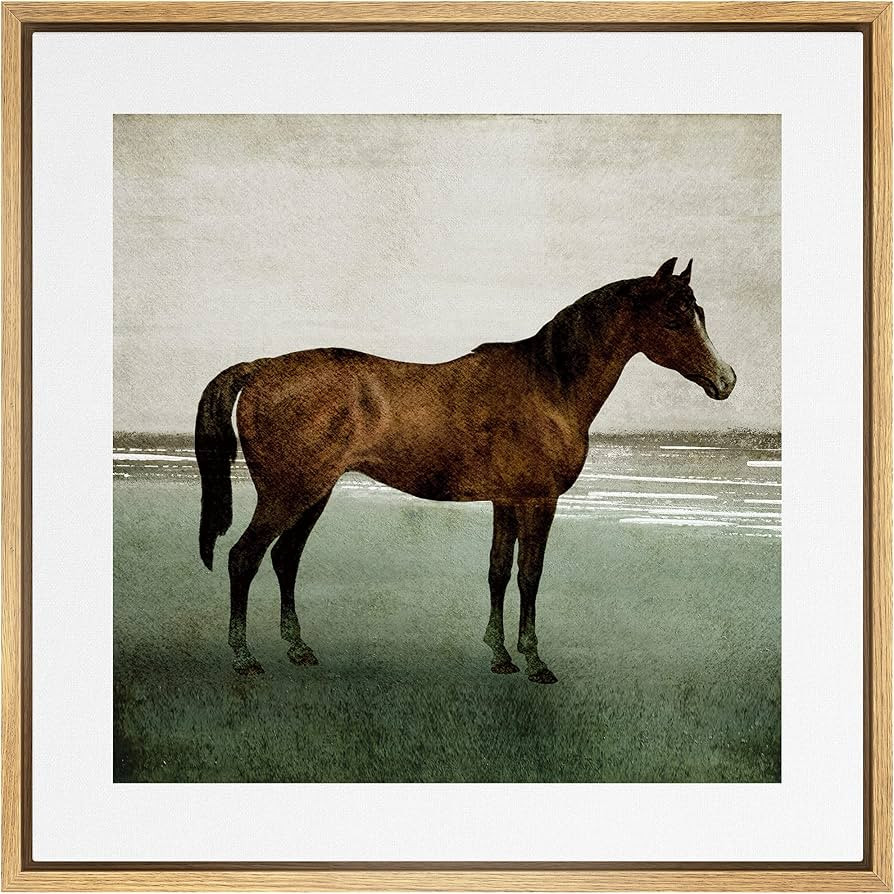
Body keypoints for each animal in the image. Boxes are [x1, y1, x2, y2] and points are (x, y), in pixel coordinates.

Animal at [195, 257, 735, 682]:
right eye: (674, 319)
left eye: (700, 314)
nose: (726, 380)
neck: (549, 384)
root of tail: (260, 367)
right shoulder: (539, 501)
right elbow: (529, 575)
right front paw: (534, 662)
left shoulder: (508, 500)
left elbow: (498, 572)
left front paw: (499, 655)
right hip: (287, 494)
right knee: (243, 558)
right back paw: (244, 658)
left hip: (314, 493)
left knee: (285, 559)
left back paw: (298, 648)